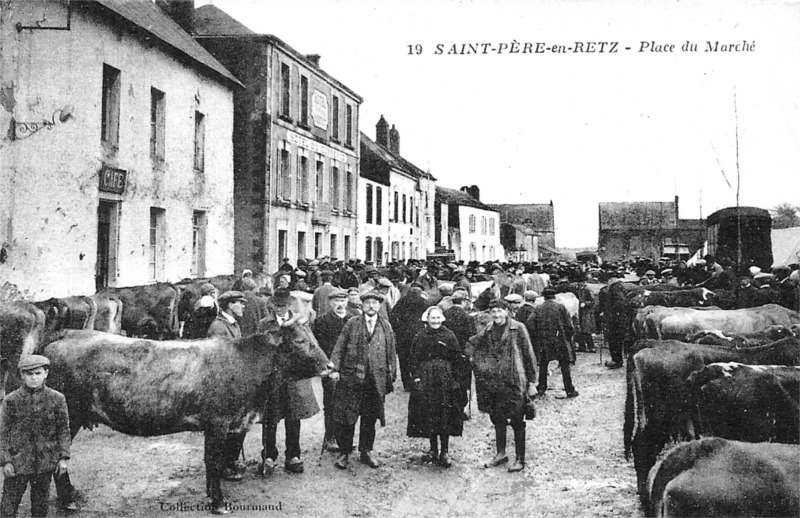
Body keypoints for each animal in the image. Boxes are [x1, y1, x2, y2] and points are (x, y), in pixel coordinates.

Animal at [42, 328, 330, 516]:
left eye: (314, 337)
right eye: (300, 341)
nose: (329, 365)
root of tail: (66, 336)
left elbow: (212, 461)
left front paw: (212, 494)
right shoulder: (218, 423)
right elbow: (213, 461)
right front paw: (218, 503)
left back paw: (71, 496)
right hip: (69, 415)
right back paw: (68, 500)